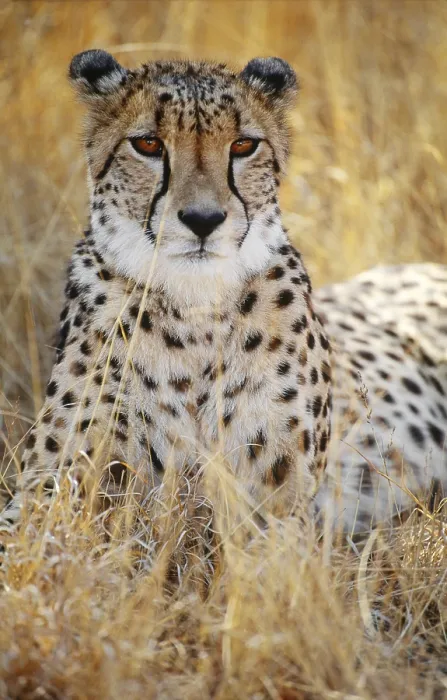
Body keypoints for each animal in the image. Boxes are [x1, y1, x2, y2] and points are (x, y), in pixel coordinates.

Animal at [2, 50, 332, 528]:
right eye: (148, 145)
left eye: (243, 146)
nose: (202, 219)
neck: (195, 307)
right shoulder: (49, 483)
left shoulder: (282, 497)